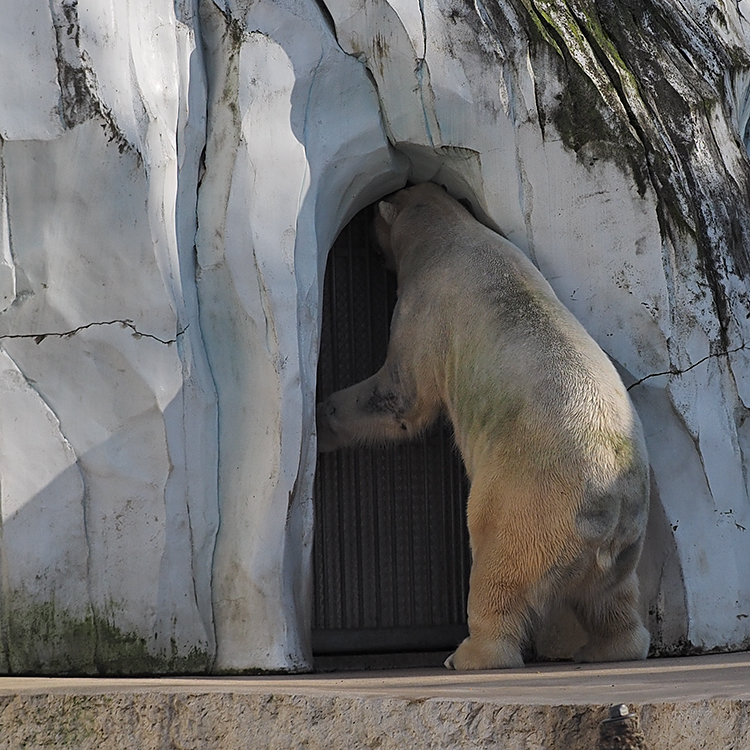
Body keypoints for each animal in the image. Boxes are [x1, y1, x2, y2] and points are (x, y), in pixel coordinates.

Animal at [318, 185, 652, 672]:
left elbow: (400, 396)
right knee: (611, 597)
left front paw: (321, 417)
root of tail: (604, 508)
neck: (450, 233)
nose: (364, 232)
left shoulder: (424, 308)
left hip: (526, 502)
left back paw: (471, 655)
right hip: (626, 541)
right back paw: (607, 648)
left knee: (499, 570)